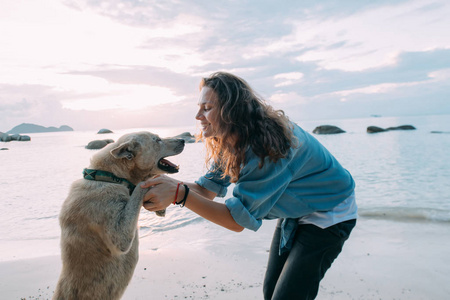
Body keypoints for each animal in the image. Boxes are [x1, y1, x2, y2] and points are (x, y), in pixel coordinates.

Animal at [53, 131, 185, 300]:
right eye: (157, 140)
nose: (183, 140)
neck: (110, 177)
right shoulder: (120, 237)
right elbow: (140, 187)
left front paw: (160, 209)